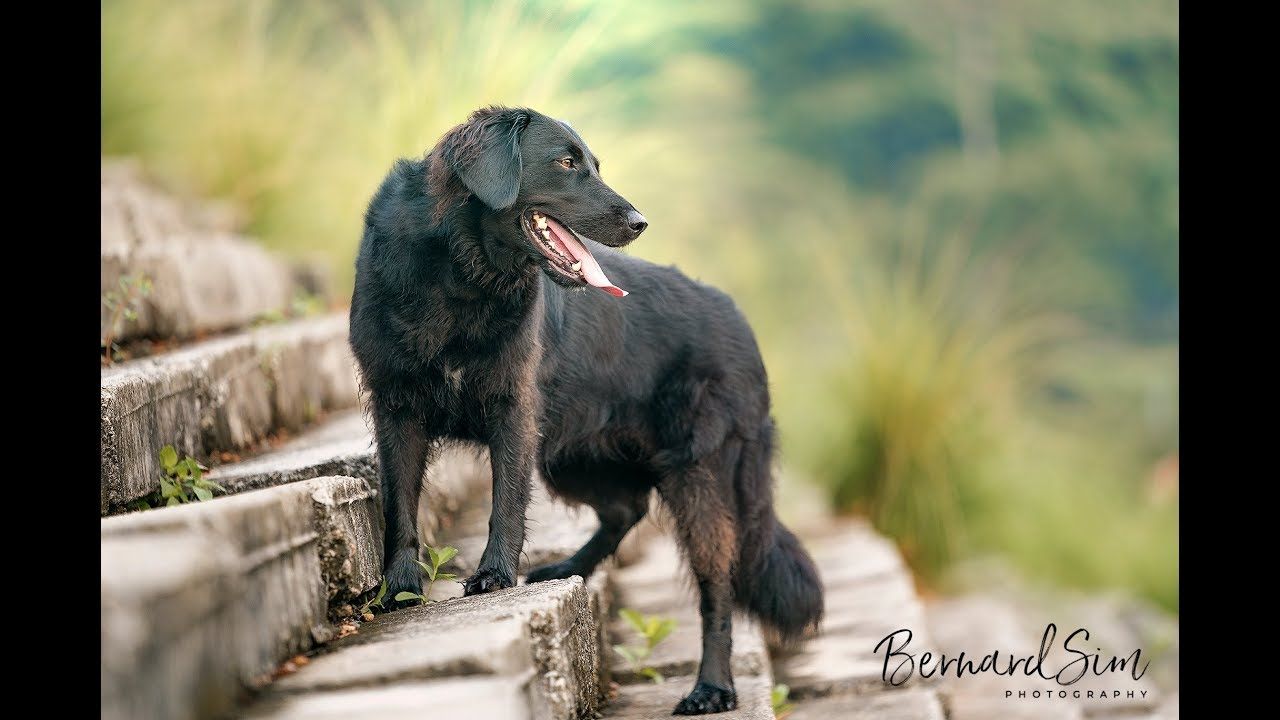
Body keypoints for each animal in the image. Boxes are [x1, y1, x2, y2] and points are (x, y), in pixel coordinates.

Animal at [348, 106, 819, 712]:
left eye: (593, 164)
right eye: (567, 163)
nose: (640, 222)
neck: (459, 275)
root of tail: (740, 321)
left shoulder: (514, 410)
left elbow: (506, 501)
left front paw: (493, 575)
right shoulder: (397, 410)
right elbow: (399, 506)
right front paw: (400, 588)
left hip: (696, 477)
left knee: (717, 585)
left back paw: (712, 687)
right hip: (573, 460)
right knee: (626, 508)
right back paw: (568, 569)